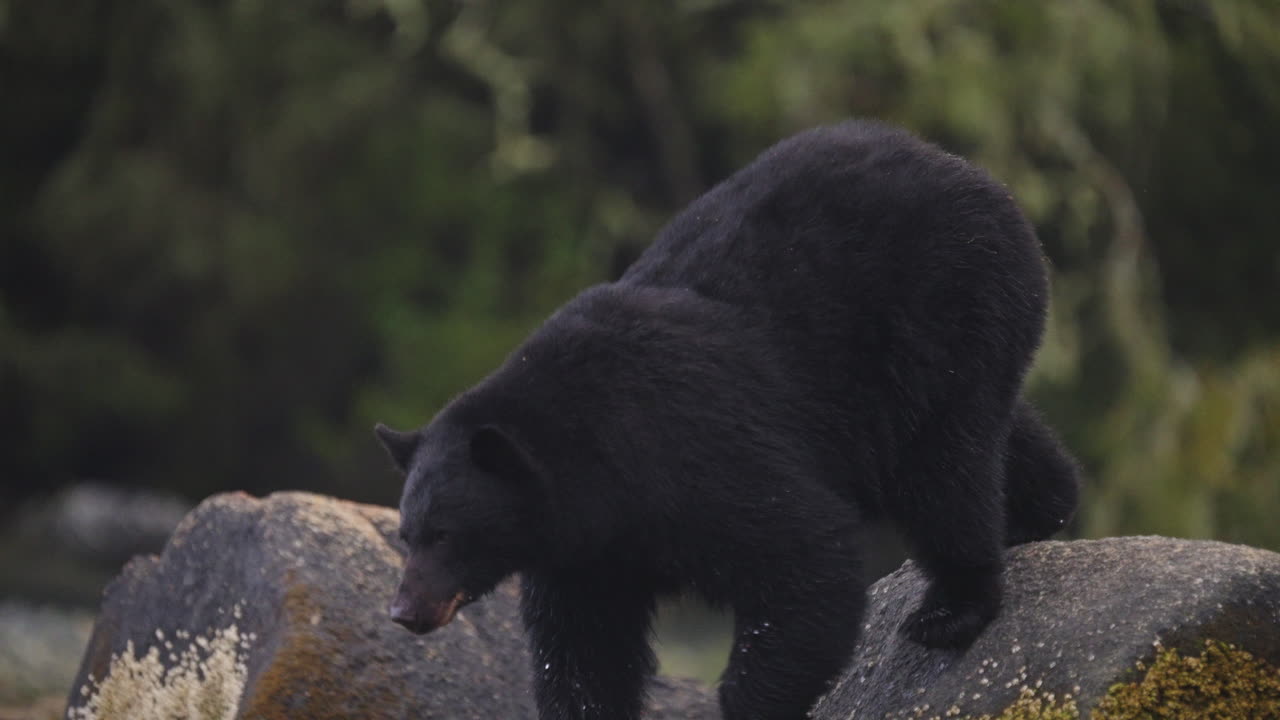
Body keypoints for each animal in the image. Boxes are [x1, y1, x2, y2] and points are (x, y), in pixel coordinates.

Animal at [375, 119, 1080, 720]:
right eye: (406, 534)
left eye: (445, 534)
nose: (404, 611)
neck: (593, 459)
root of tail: (965, 167)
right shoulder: (586, 549)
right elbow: (581, 645)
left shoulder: (694, 449)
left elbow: (802, 558)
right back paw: (1043, 508)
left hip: (942, 311)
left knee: (944, 469)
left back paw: (951, 610)